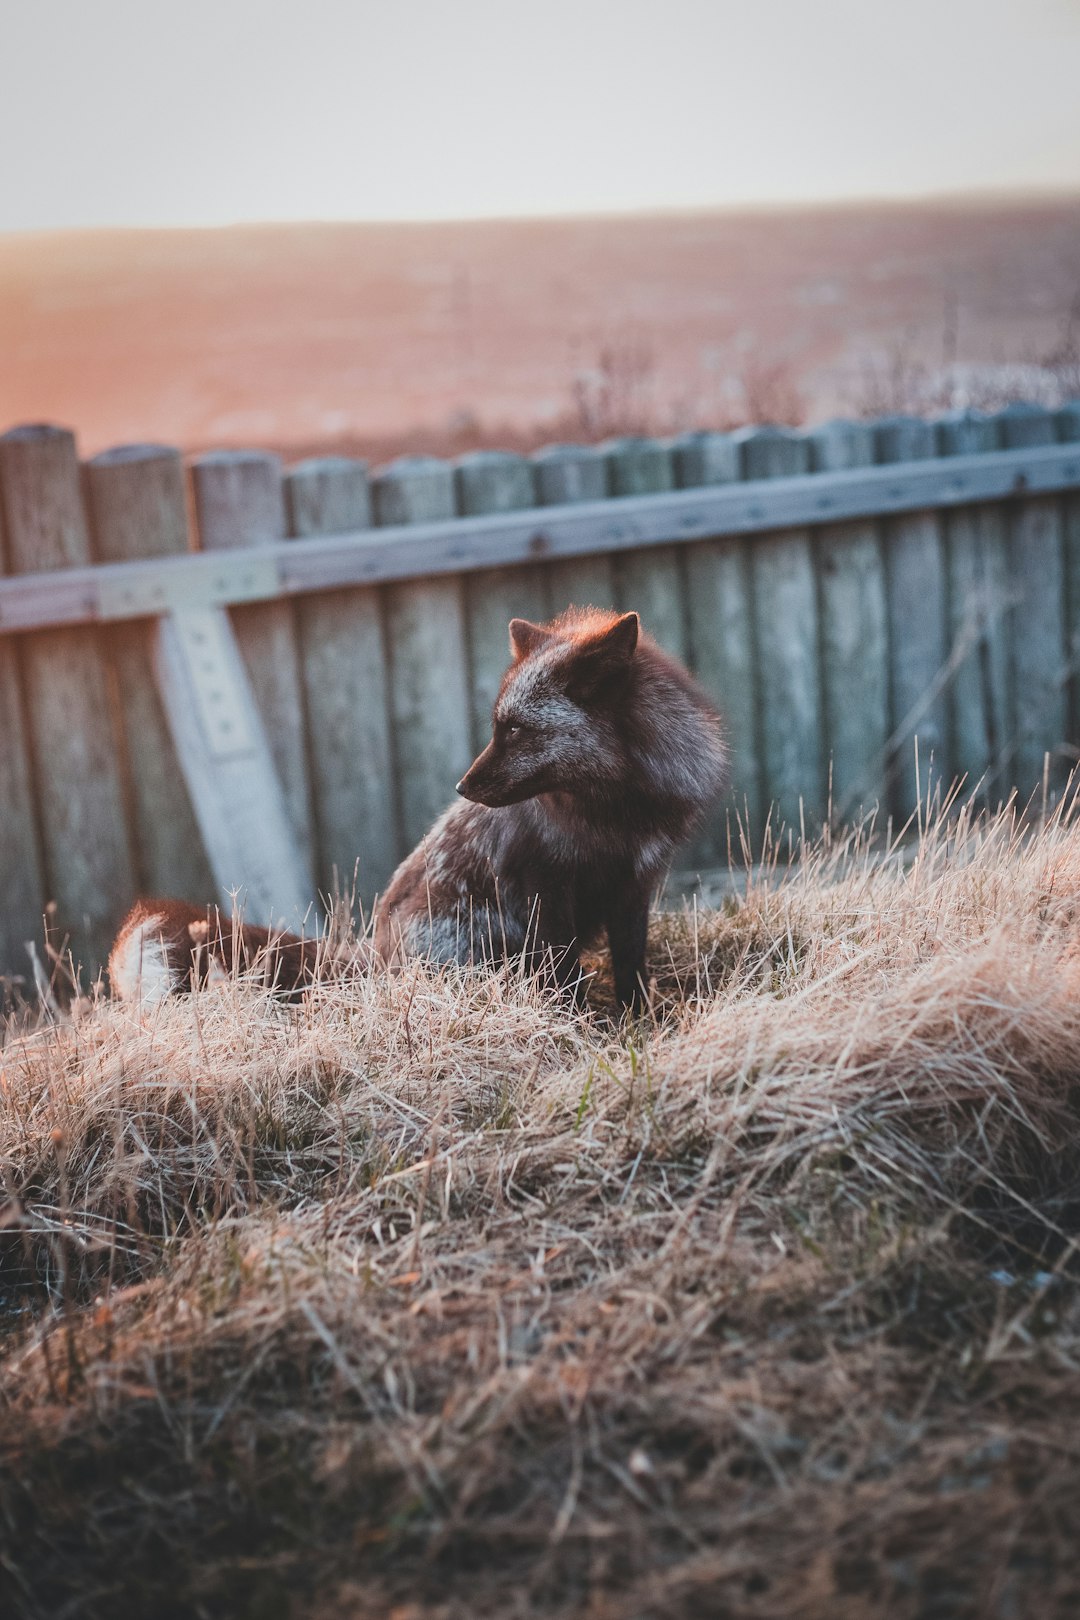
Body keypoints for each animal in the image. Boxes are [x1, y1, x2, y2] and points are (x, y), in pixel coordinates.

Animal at [110, 609, 725, 1010]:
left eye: (515, 730)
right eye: (498, 727)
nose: (461, 787)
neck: (613, 814)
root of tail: (373, 955)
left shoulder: (634, 886)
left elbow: (630, 970)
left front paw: (637, 1023)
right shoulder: (545, 893)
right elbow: (567, 977)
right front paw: (576, 1029)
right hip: (474, 945)